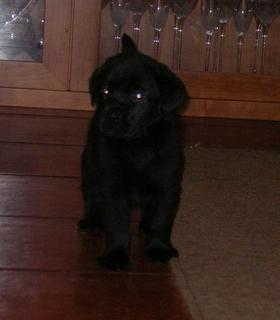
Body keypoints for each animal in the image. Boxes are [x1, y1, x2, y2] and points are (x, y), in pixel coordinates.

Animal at [79, 34, 188, 270]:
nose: (112, 115)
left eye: (139, 95)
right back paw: (91, 220)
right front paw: (116, 255)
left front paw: (158, 248)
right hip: (90, 165)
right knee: (91, 194)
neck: (138, 145)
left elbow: (160, 220)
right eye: (105, 91)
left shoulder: (166, 185)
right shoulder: (112, 187)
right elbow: (116, 223)